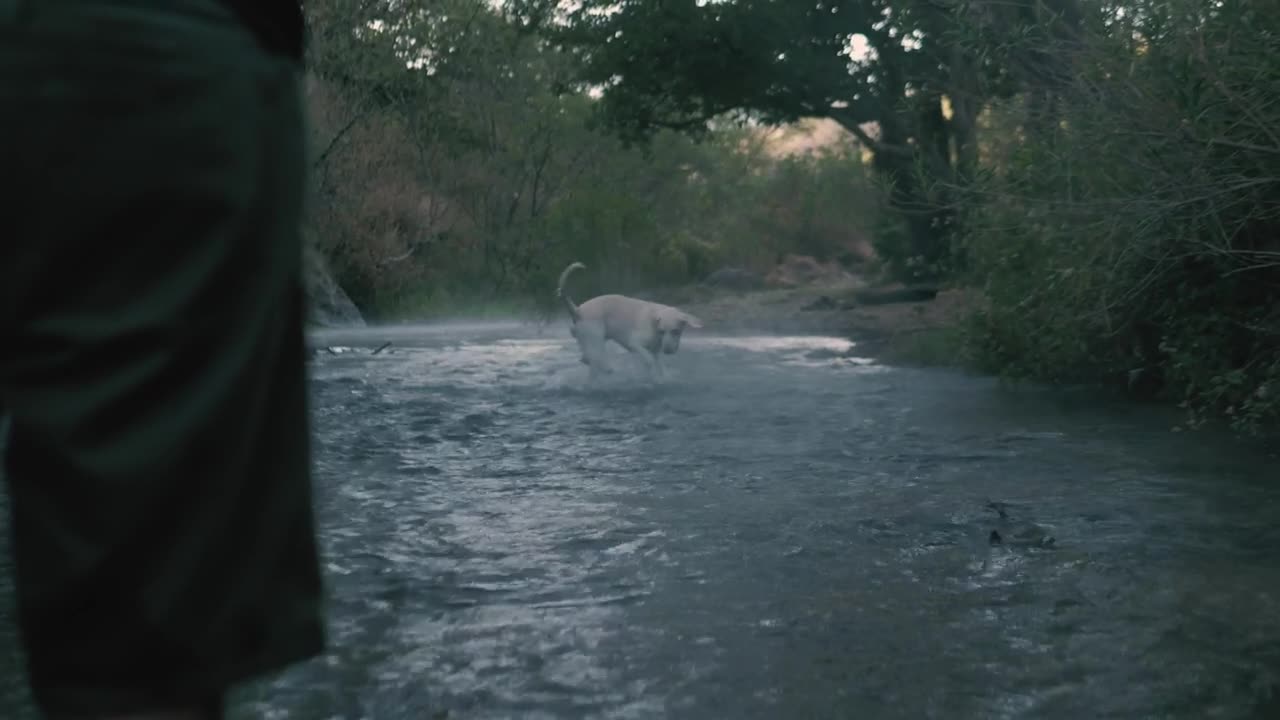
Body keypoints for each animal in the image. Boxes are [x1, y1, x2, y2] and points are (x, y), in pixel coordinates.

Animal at [558, 258, 706, 381]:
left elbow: (659, 365)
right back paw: (607, 369)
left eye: (676, 331)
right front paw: (653, 376)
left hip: (587, 340)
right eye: (662, 331)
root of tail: (578, 310)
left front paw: (664, 377)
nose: (668, 351)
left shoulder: (656, 351)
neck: (654, 325)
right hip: (596, 339)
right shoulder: (635, 343)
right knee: (597, 360)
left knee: (587, 359)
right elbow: (649, 360)